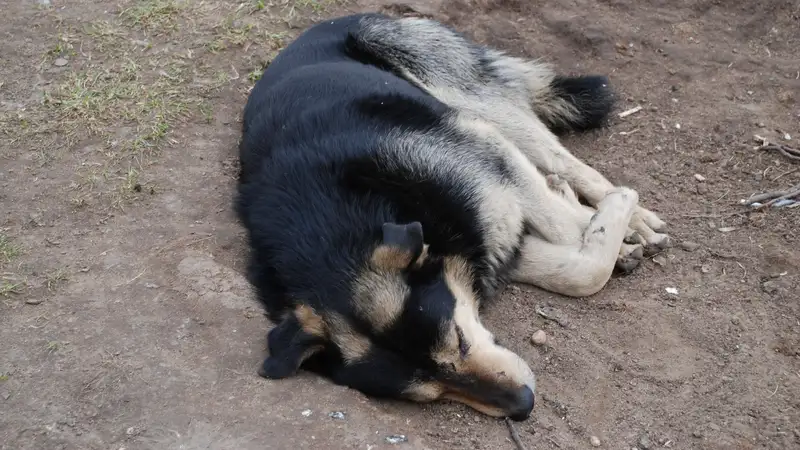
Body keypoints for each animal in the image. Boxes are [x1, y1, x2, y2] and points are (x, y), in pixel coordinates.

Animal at [236, 14, 668, 422]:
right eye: (435, 392)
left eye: (459, 340)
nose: (524, 405)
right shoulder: (479, 238)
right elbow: (571, 268)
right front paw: (605, 236)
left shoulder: (486, 159)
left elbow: (572, 243)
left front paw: (618, 213)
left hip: (465, 96)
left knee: (560, 158)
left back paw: (634, 218)